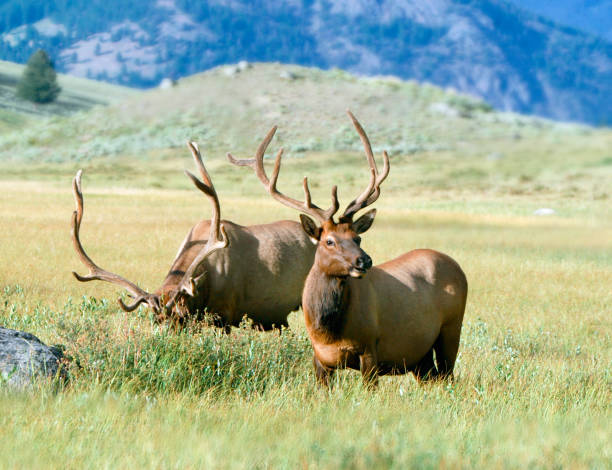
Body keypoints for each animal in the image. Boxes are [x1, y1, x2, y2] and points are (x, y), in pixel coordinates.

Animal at [235, 113, 468, 386]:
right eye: (329, 241)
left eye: (358, 238)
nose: (363, 261)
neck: (328, 333)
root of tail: (456, 266)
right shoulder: (320, 360)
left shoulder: (370, 348)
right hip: (420, 356)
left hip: (451, 329)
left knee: (449, 375)